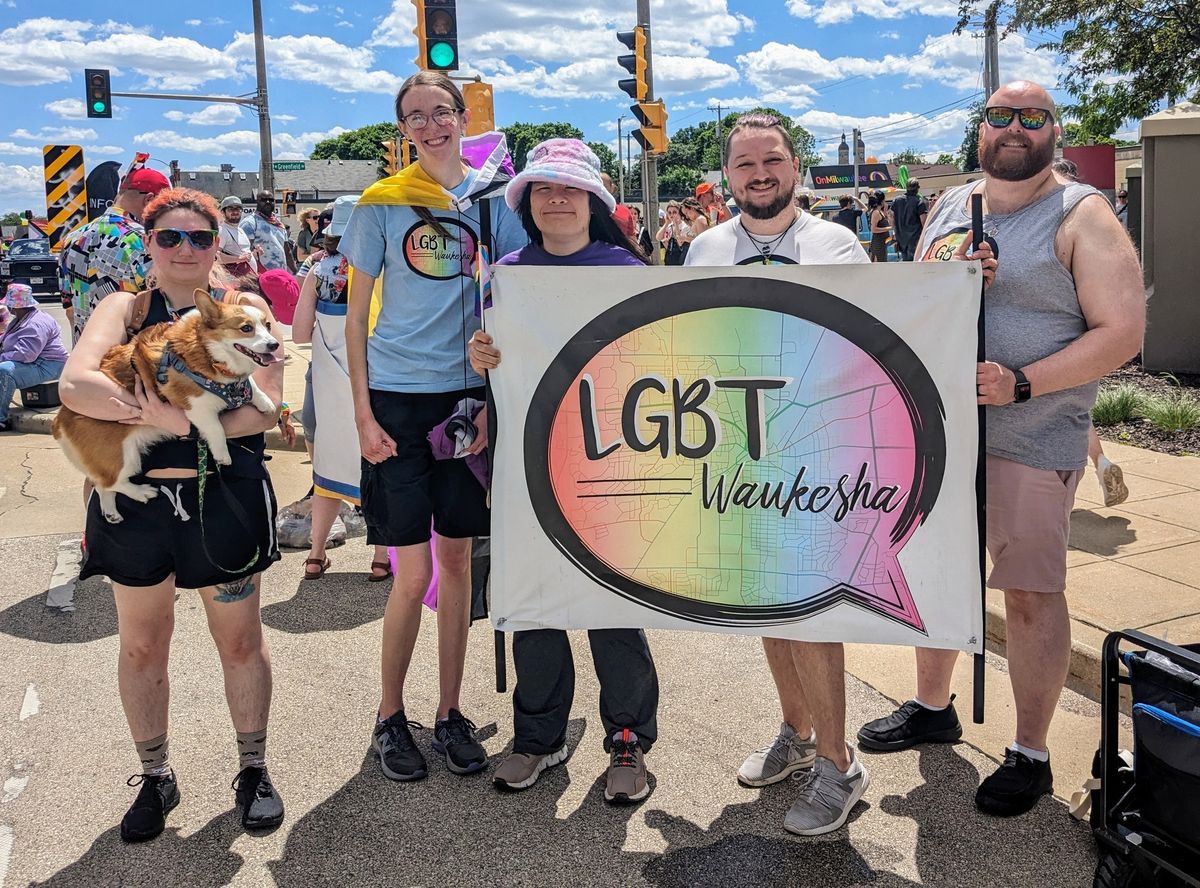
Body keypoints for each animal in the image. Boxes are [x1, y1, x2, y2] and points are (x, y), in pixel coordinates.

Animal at [56, 288, 283, 523]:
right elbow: (216, 429)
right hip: (122, 456)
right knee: (111, 482)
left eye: (267, 325)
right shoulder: (196, 406)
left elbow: (252, 385)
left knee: (103, 486)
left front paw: (265, 402)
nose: (275, 344)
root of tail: (59, 422)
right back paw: (142, 492)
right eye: (246, 328)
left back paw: (111, 513)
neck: (208, 351)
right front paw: (223, 455)